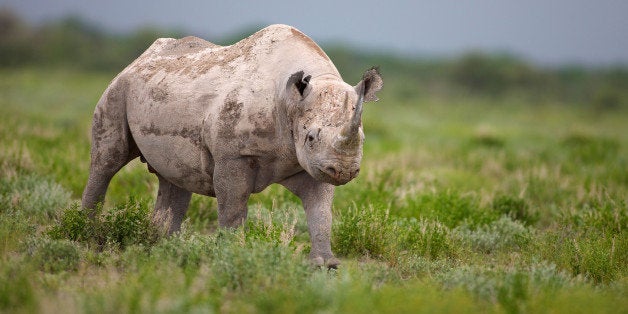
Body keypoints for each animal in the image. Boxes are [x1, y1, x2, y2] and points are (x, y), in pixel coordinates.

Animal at [81, 25, 380, 268]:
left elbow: (321, 210)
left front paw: (326, 265)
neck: (291, 101)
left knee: (174, 177)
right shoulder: (234, 155)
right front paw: (234, 254)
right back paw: (86, 232)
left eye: (363, 139)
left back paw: (162, 248)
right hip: (119, 88)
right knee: (108, 160)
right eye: (311, 138)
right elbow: (233, 206)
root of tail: (138, 59)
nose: (344, 171)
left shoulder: (312, 163)